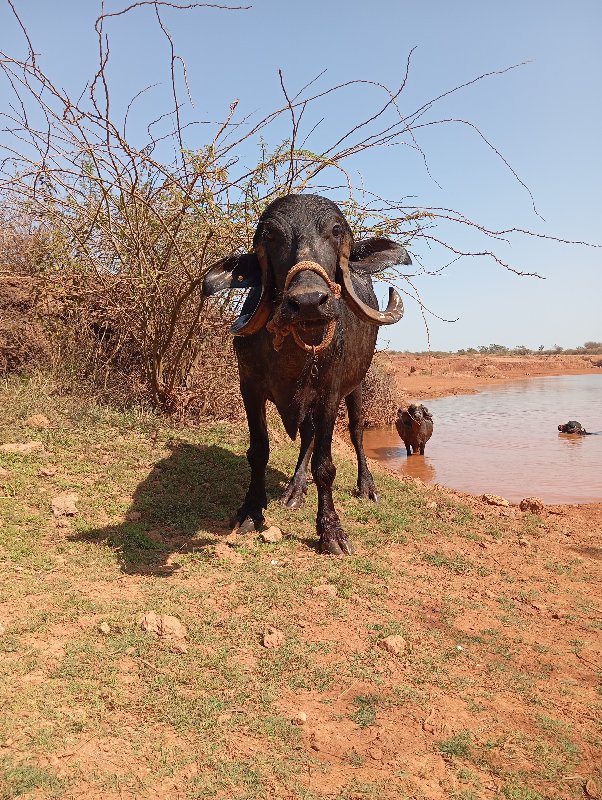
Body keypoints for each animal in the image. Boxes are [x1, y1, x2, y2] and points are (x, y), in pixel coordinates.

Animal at [202, 194, 408, 556]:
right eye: (270, 235)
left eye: (336, 230)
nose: (310, 300)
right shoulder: (249, 387)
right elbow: (259, 451)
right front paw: (251, 510)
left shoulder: (329, 393)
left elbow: (325, 466)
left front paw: (330, 531)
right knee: (308, 436)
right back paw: (295, 490)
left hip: (357, 386)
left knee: (356, 432)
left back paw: (366, 486)